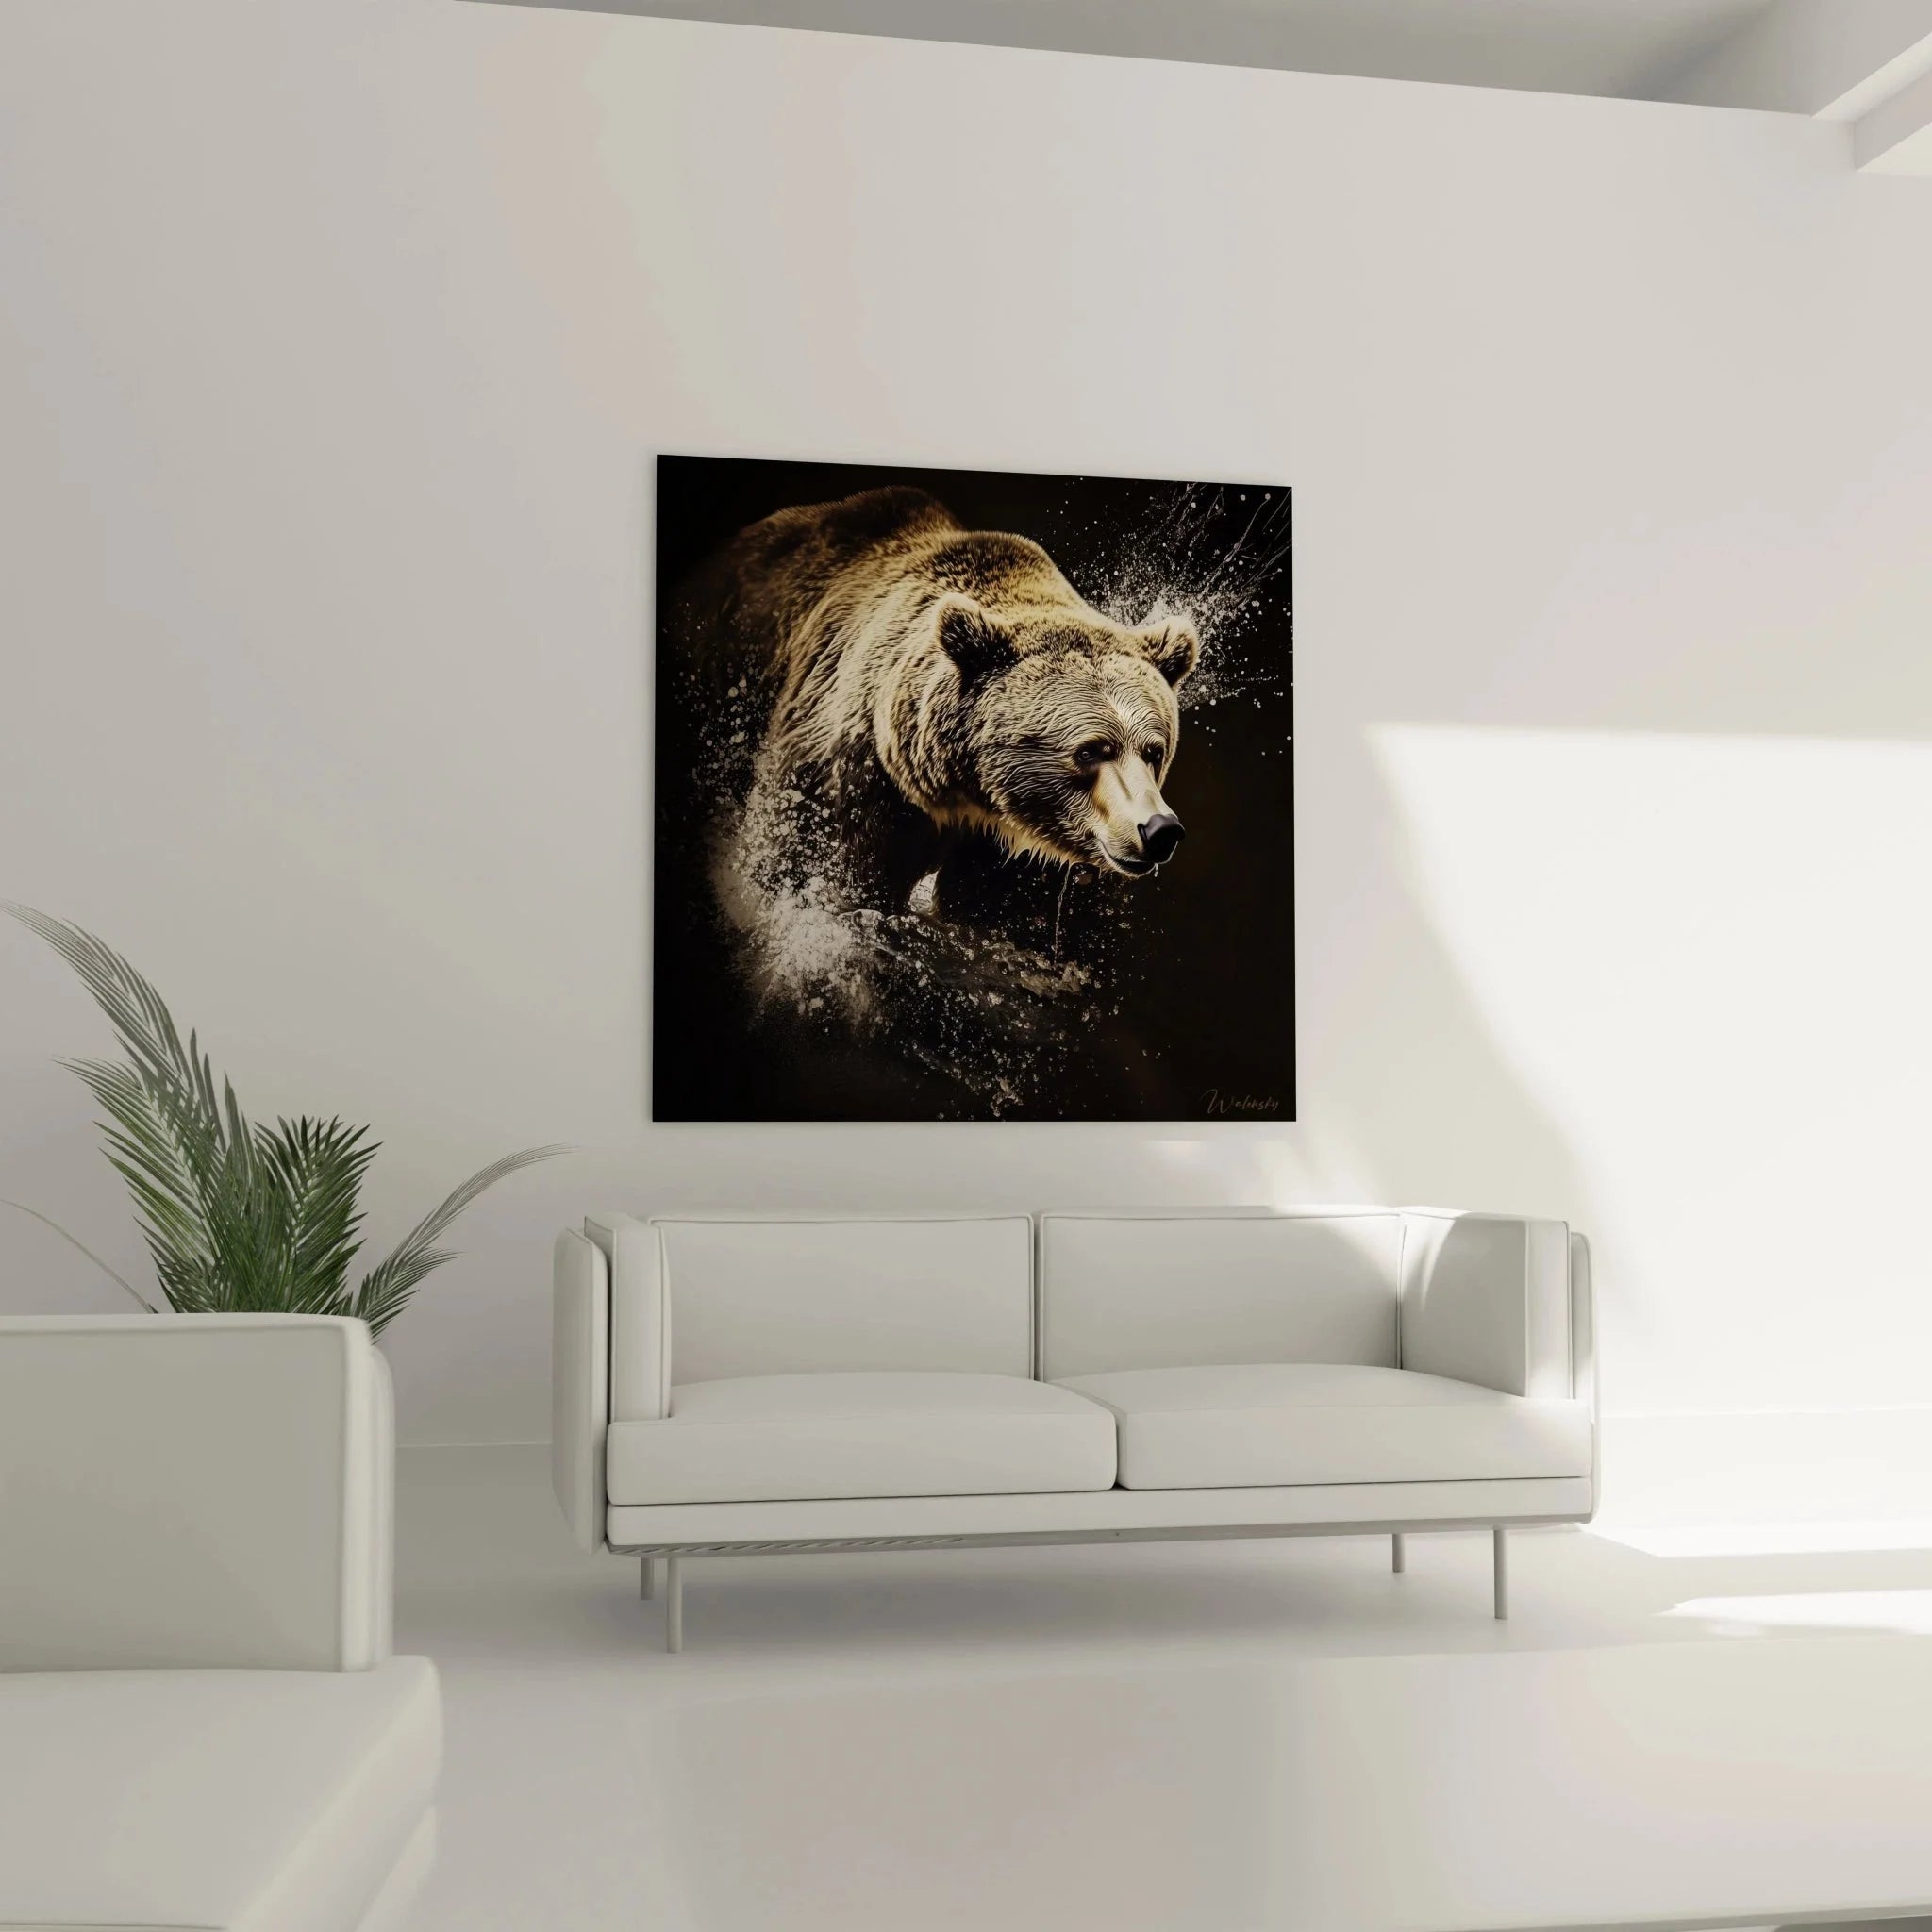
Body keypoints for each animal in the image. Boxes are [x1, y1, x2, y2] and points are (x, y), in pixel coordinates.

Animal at [676, 485, 1201, 930]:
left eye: (1153, 751)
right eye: (1090, 750)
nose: (1159, 829)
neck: (967, 791)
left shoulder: (1020, 852)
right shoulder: (851, 775)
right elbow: (814, 860)